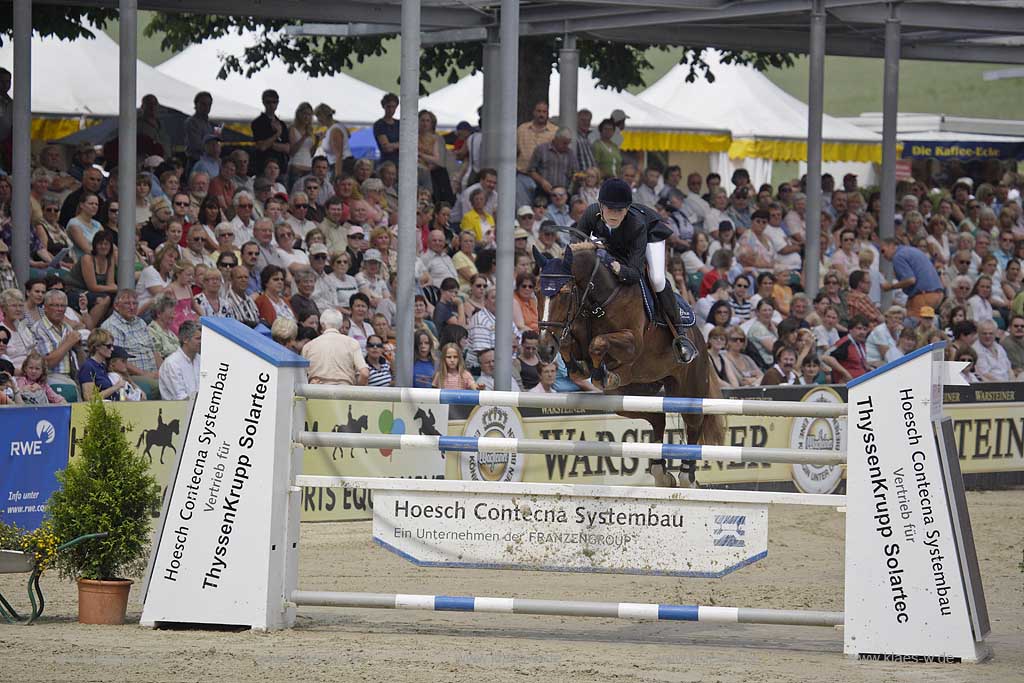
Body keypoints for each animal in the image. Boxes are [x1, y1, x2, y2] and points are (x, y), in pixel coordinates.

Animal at [540, 240, 724, 485]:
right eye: (536, 292)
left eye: (564, 293)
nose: (543, 350)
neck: (598, 299)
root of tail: (701, 340)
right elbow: (571, 343)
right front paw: (582, 369)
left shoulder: (633, 343)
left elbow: (598, 342)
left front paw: (598, 371)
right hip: (627, 395)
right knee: (657, 418)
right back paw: (661, 473)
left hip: (689, 389)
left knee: (694, 423)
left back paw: (687, 475)